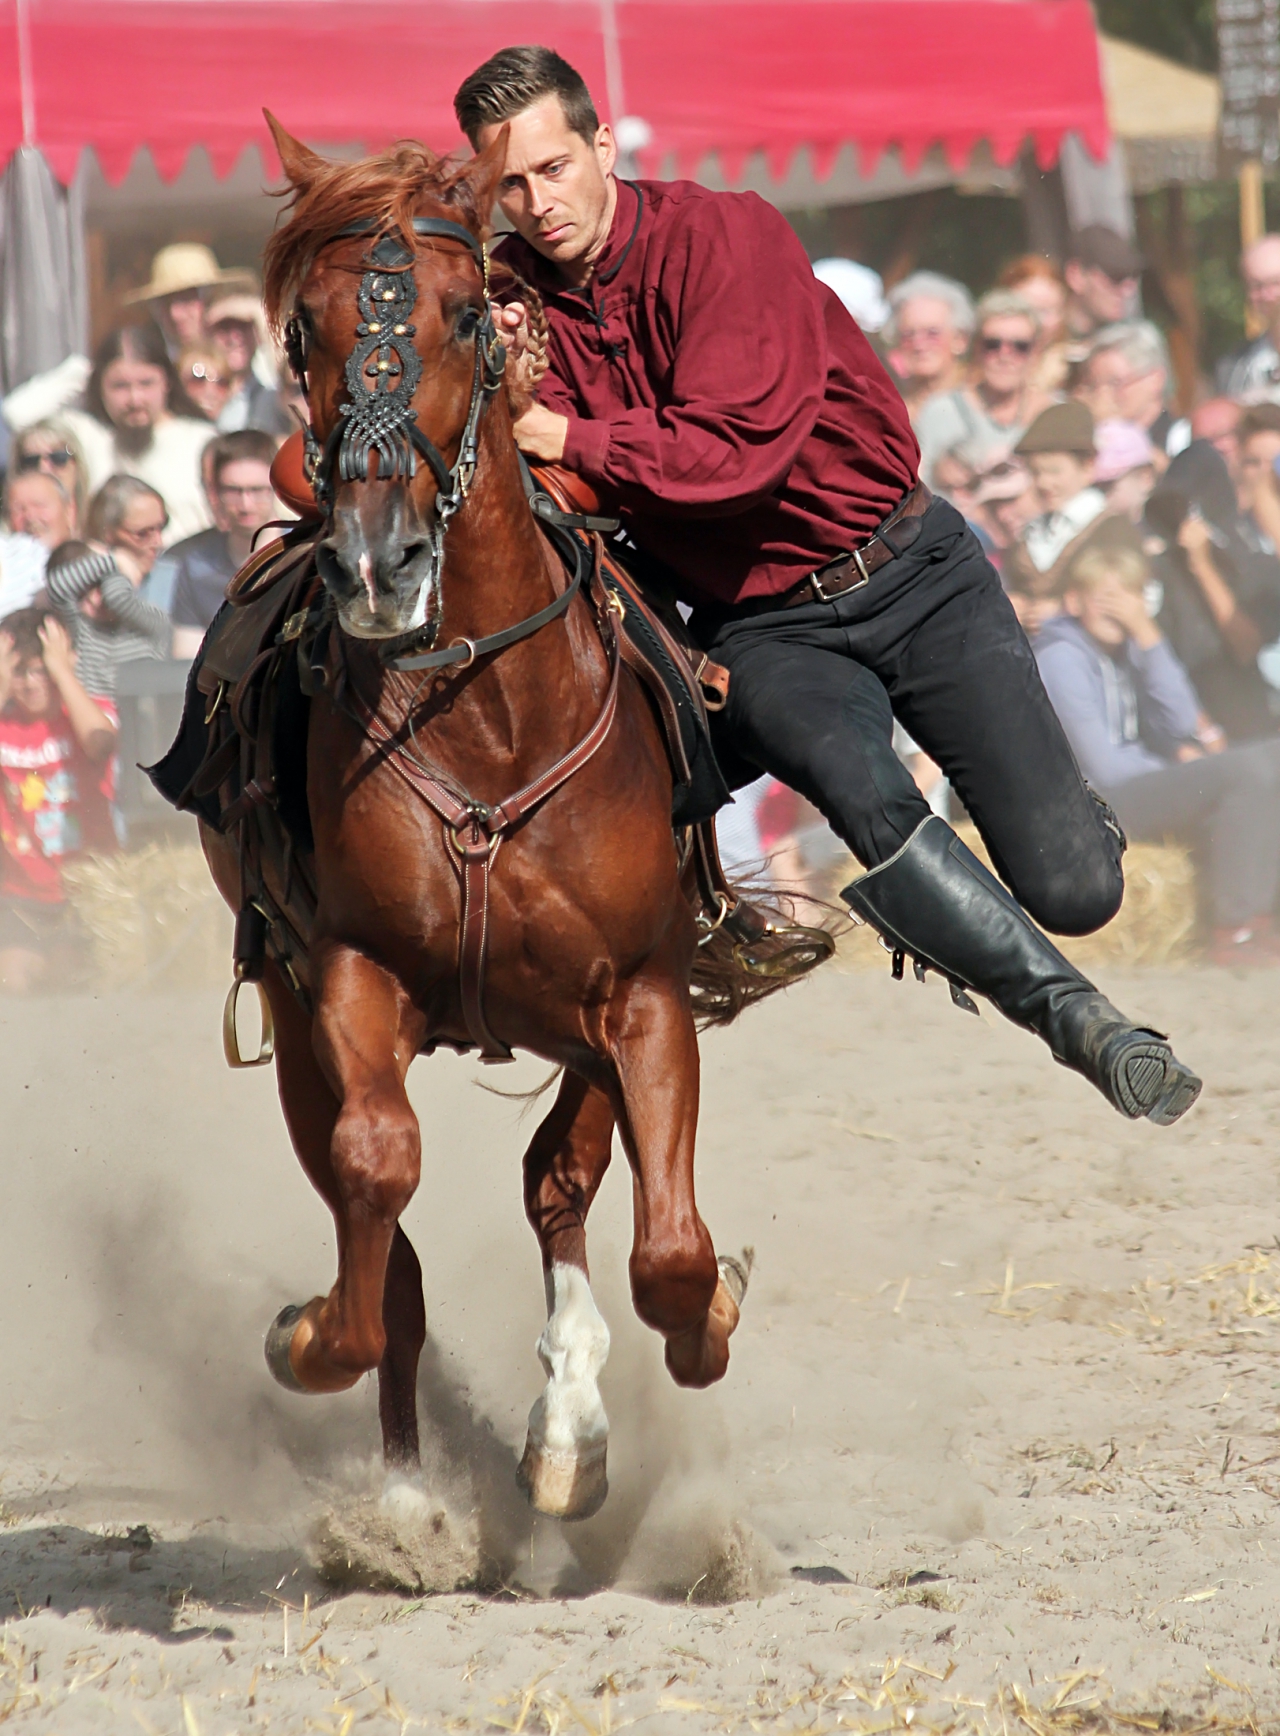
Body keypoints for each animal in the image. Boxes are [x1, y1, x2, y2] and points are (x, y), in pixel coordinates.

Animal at [189, 122, 823, 1527]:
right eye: (301, 330)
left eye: (467, 313)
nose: (375, 563)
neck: (485, 712)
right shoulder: (348, 977)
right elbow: (377, 1185)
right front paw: (309, 1340)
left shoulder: (640, 991)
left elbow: (667, 1248)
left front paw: (679, 1339)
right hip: (295, 1011)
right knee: (390, 1224)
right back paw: (407, 1500)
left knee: (558, 1180)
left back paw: (568, 1428)